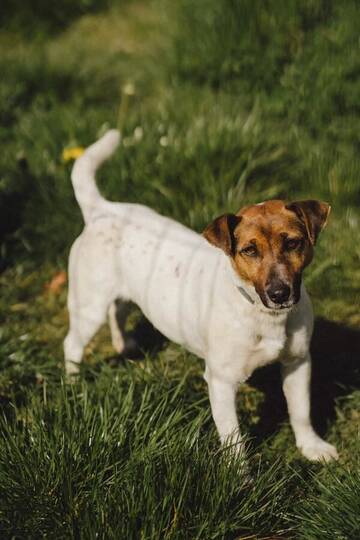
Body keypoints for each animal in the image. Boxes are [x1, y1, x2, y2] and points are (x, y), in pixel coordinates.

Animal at [64, 129, 338, 462]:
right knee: (73, 344)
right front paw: (239, 474)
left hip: (122, 292)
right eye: (249, 250)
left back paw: (124, 344)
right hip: (88, 306)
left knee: (118, 310)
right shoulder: (221, 382)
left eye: (293, 243)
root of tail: (102, 209)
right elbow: (234, 440)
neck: (262, 313)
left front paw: (312, 447)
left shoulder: (298, 362)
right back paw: (73, 384)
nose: (279, 292)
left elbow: (300, 412)